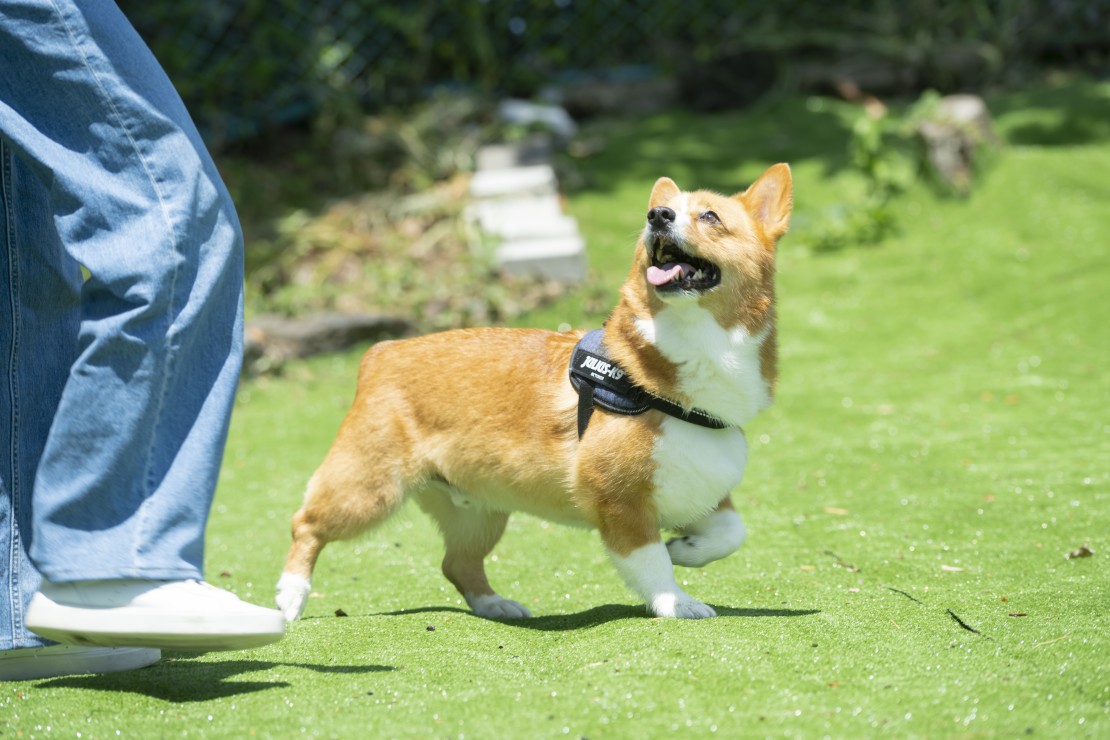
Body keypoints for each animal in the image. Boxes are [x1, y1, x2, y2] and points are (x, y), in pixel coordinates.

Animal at [274, 165, 790, 621]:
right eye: (663, 211)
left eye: (710, 217)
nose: (657, 215)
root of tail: (380, 354)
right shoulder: (621, 502)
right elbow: (652, 562)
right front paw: (676, 602)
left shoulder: (702, 488)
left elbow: (732, 532)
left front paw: (687, 547)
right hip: (368, 491)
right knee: (305, 525)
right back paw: (289, 598)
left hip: (478, 512)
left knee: (457, 563)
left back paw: (495, 606)